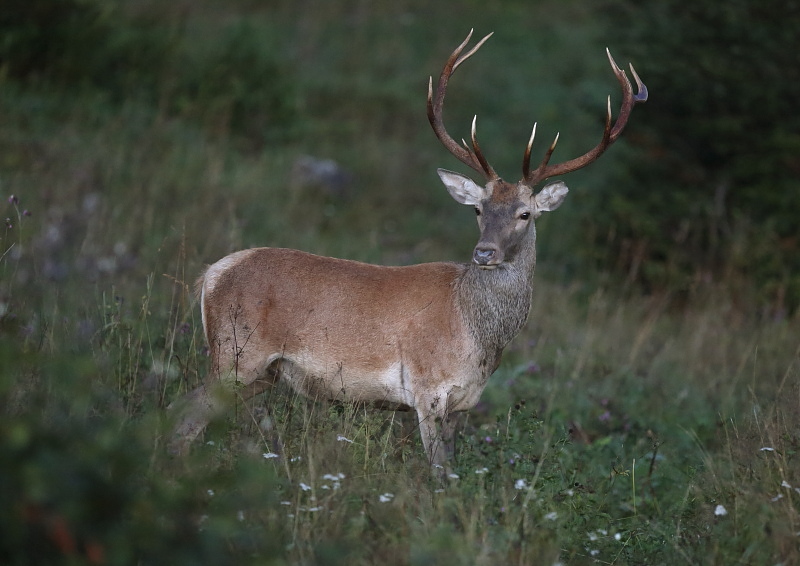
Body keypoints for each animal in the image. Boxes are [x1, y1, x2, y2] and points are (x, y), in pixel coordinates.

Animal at [167, 32, 644, 474]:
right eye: (478, 208)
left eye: (525, 213)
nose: (484, 252)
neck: (476, 334)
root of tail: (211, 274)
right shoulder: (427, 387)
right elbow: (437, 475)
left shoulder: (462, 404)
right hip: (235, 353)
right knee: (183, 415)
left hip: (259, 373)